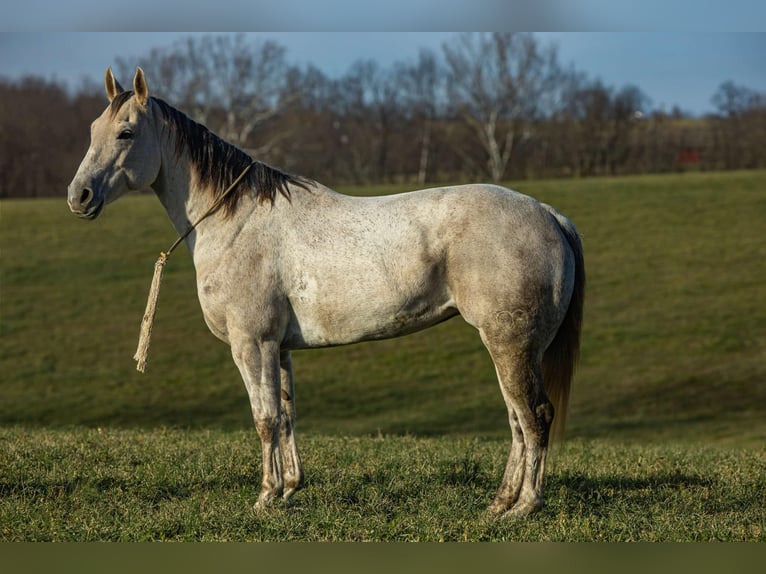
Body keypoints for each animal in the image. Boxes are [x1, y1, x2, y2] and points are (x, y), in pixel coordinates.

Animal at [67, 67, 584, 518]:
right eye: (92, 129)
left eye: (126, 133)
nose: (79, 196)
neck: (236, 222)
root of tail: (549, 214)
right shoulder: (277, 348)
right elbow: (287, 414)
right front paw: (289, 489)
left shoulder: (251, 344)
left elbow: (264, 418)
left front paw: (265, 497)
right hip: (509, 347)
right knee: (517, 420)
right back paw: (498, 503)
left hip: (510, 344)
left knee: (535, 416)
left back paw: (523, 507)